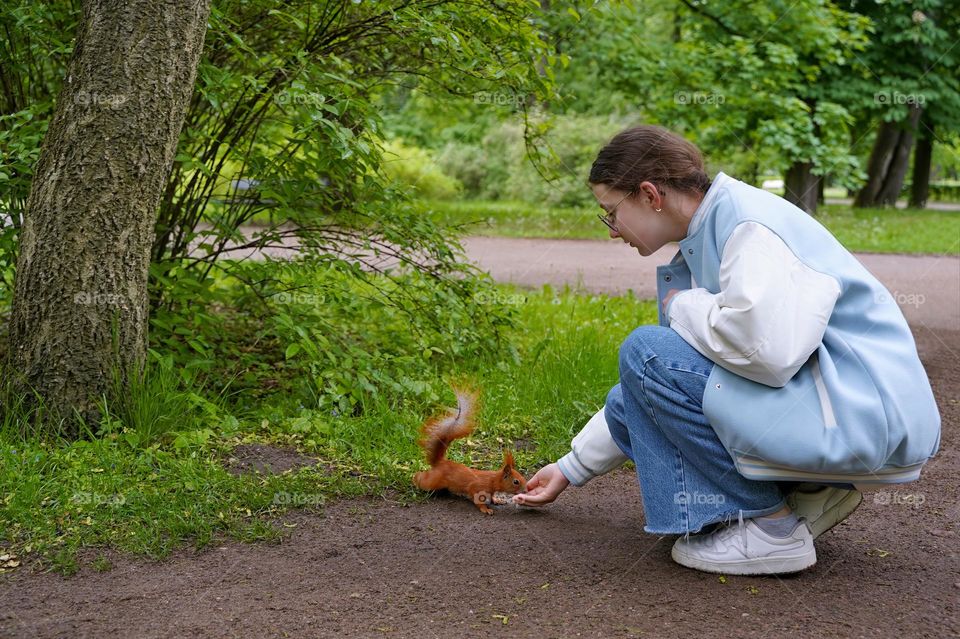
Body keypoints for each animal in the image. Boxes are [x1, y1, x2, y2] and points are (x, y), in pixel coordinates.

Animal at [410, 388, 528, 516]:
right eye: (516, 481)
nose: (526, 489)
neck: (492, 480)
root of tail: (441, 462)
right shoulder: (476, 488)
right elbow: (477, 499)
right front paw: (485, 509)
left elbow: (491, 496)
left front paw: (497, 500)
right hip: (434, 481)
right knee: (421, 479)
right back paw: (415, 480)